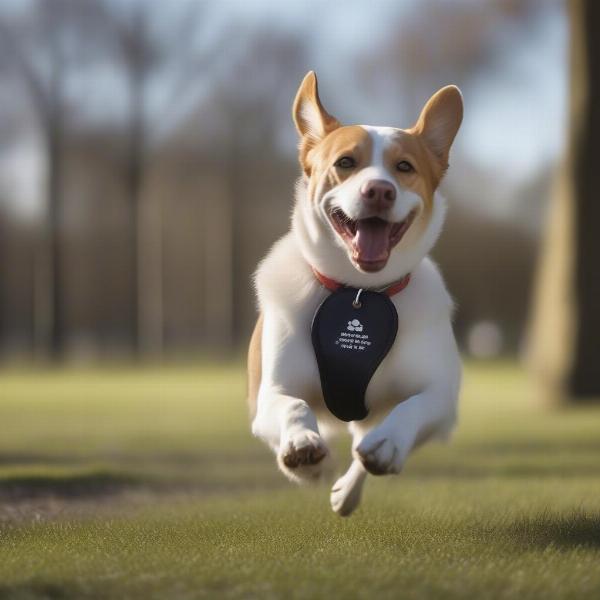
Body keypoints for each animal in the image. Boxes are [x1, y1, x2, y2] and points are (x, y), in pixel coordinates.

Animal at [246, 71, 462, 516]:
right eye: (345, 162)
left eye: (404, 167)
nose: (379, 190)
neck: (358, 287)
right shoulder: (269, 395)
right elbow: (292, 405)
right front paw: (301, 445)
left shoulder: (441, 398)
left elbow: (411, 407)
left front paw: (387, 444)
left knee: (364, 440)